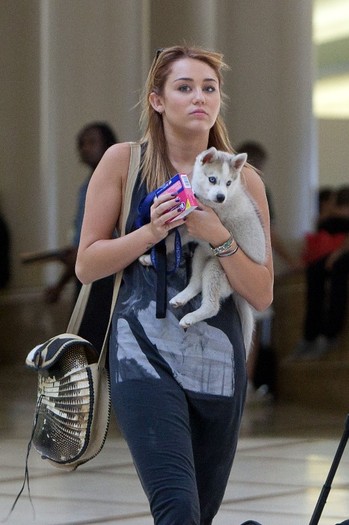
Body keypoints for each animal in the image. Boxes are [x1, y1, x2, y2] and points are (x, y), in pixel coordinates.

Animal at [169, 146, 266, 352]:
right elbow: (172, 238)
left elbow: (172, 239)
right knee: (197, 282)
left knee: (212, 306)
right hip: (202, 254)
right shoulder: (194, 233)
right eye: (212, 179)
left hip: (217, 269)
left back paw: (190, 318)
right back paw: (181, 297)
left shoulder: (197, 229)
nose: (221, 197)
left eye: (229, 182)